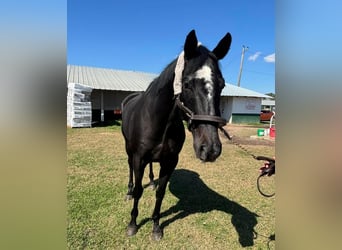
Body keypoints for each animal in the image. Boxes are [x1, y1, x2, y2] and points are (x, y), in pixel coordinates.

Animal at [121, 29, 231, 240]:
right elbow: (139, 191)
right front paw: (132, 224)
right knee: (130, 168)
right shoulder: (139, 157)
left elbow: (161, 194)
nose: (210, 149)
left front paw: (156, 227)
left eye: (221, 85)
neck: (158, 121)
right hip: (129, 150)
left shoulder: (169, 161)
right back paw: (129, 191)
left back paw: (151, 182)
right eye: (187, 84)